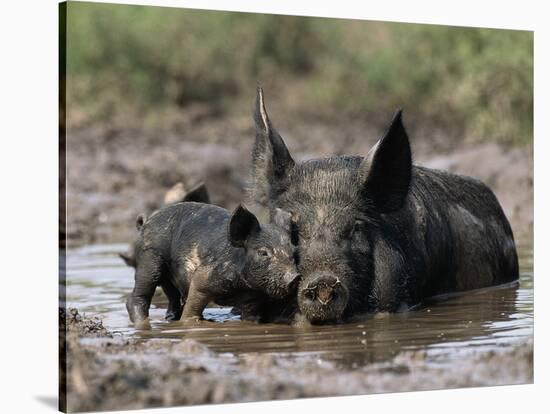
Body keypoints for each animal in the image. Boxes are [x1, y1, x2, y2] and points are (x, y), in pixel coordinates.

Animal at [126, 202, 302, 326]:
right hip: (150, 257)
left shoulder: (253, 297)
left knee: (173, 297)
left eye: (293, 251)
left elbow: (250, 317)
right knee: (139, 295)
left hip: (168, 278)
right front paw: (192, 323)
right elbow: (193, 305)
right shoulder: (203, 277)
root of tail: (145, 223)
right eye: (263, 252)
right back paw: (143, 323)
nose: (295, 277)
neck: (241, 288)